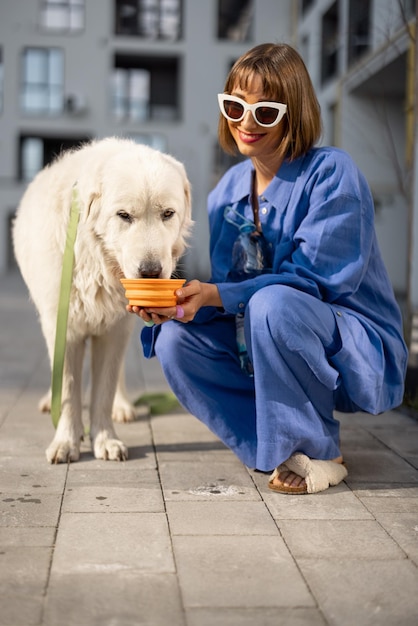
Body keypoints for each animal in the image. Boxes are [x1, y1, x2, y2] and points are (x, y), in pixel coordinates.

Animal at [13, 136, 193, 460]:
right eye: (124, 216)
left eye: (168, 214)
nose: (150, 271)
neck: (95, 260)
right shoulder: (65, 326)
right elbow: (68, 388)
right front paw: (66, 442)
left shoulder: (114, 329)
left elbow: (104, 390)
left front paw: (105, 439)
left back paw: (123, 407)